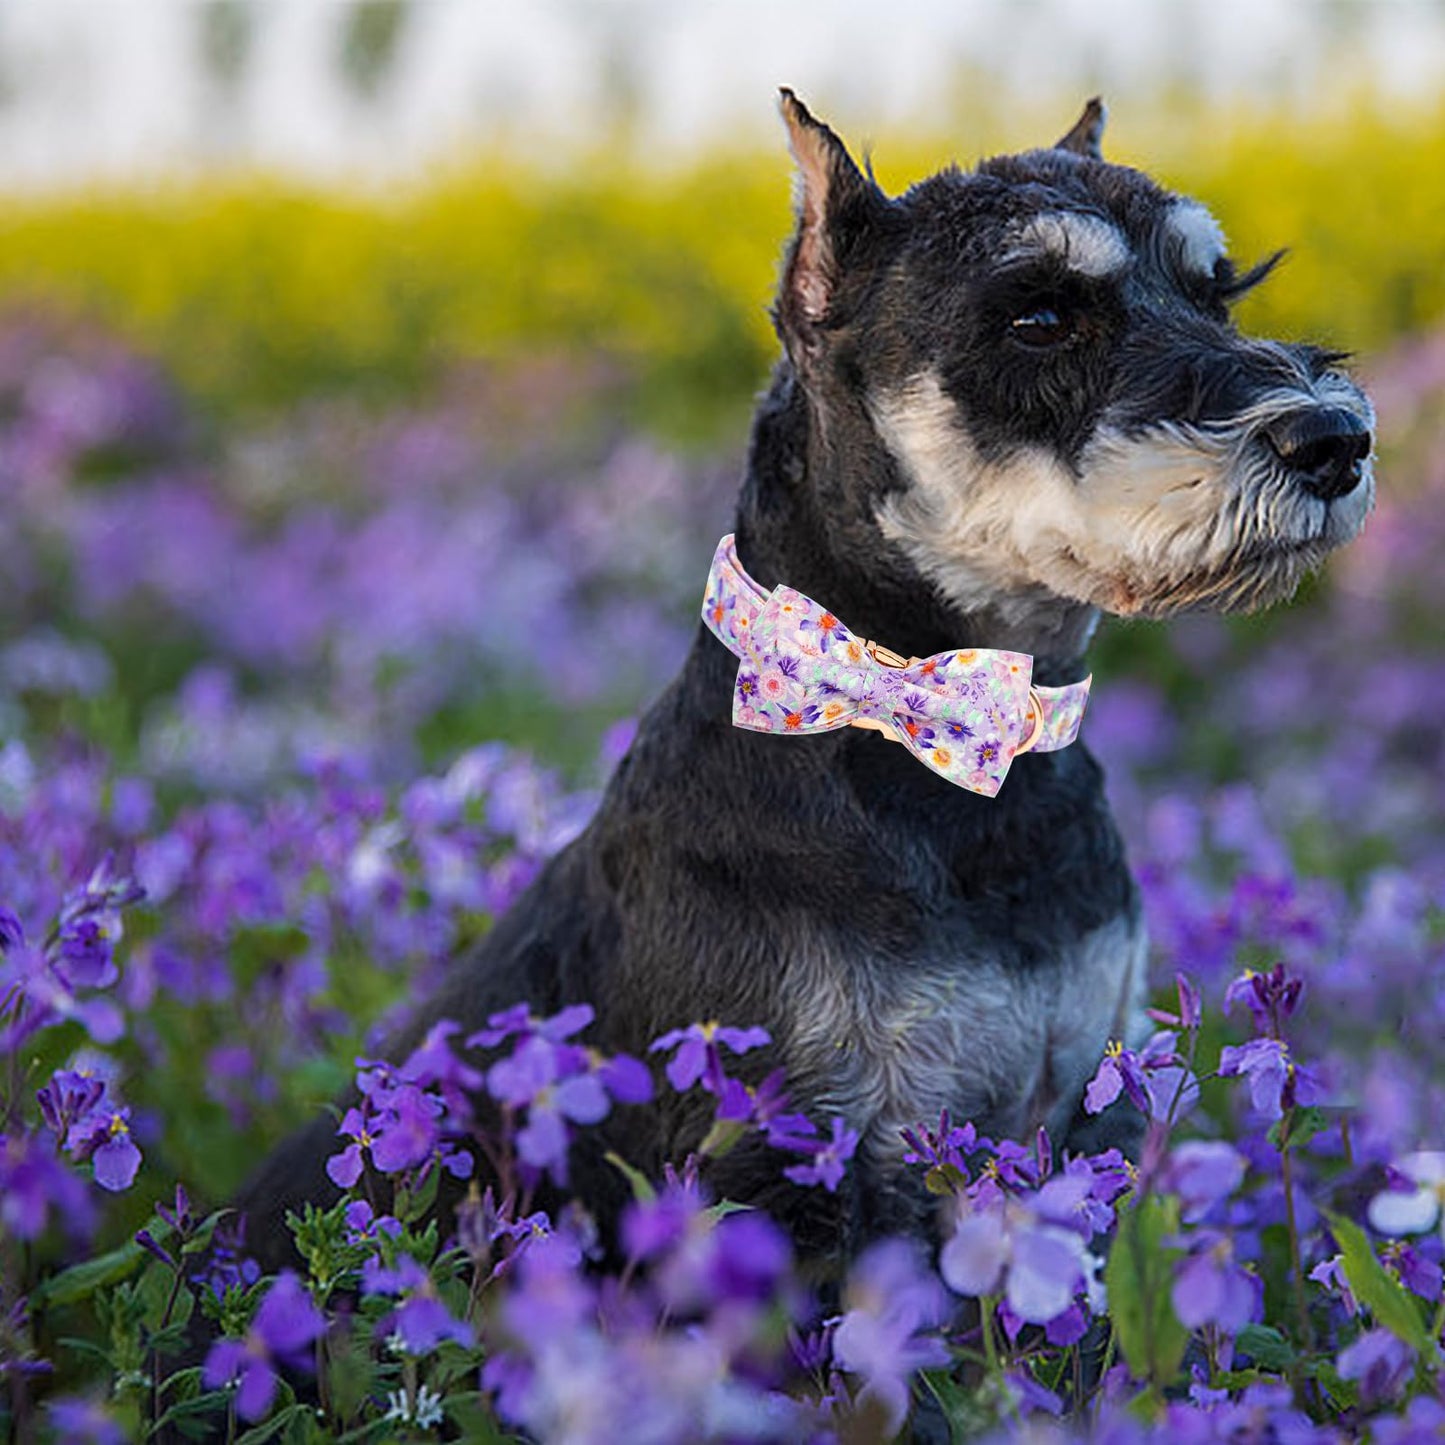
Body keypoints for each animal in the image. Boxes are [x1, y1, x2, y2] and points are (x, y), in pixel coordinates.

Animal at [239, 90, 1375, 1271]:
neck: (936, 744)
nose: (1334, 439)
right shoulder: (786, 1159)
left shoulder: (1082, 1105)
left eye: (1215, 287)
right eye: (1039, 317)